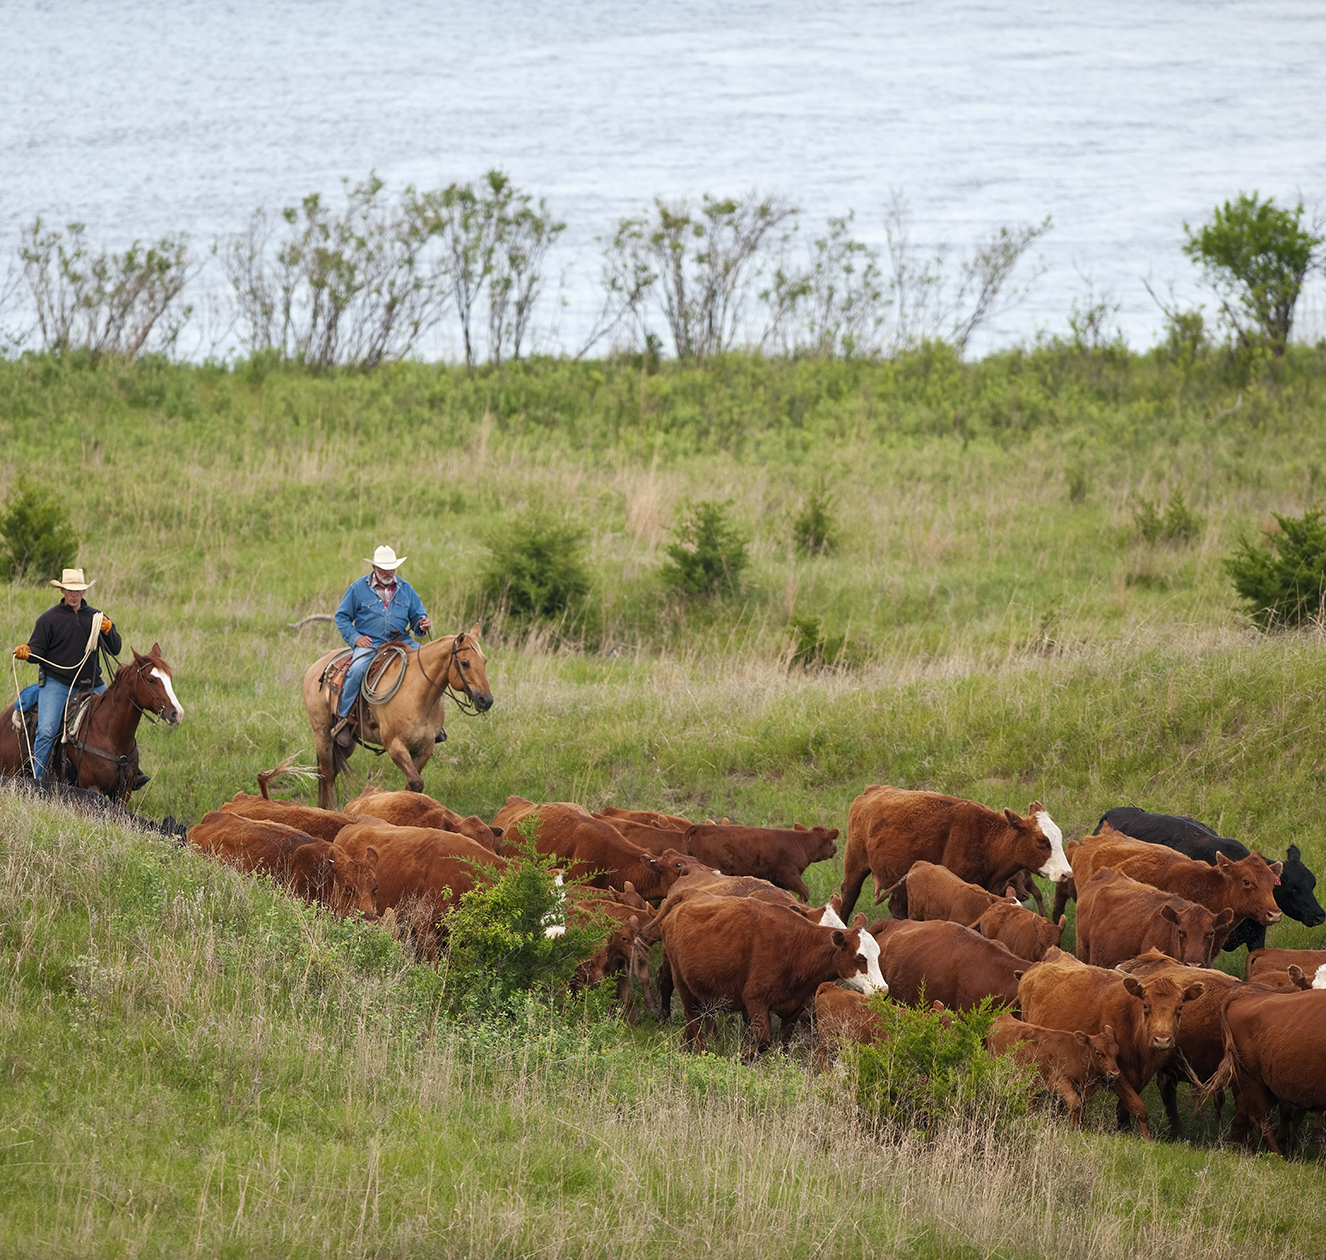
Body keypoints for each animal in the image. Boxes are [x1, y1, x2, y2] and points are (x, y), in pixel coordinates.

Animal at [0, 647, 186, 806]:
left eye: (169, 678)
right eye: (151, 679)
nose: (177, 713)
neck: (109, 733)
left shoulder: (123, 792)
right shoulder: (93, 787)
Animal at [303, 626, 495, 811]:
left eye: (484, 661)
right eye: (465, 663)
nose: (486, 700)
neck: (417, 694)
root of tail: (321, 662)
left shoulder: (425, 748)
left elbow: (412, 785)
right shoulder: (394, 745)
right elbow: (416, 782)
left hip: (346, 742)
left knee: (329, 770)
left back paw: (321, 806)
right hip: (322, 732)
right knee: (327, 773)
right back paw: (331, 810)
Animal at [843, 790, 1071, 917]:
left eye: (1059, 837)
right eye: (1042, 841)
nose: (1066, 873)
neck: (986, 840)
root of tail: (871, 791)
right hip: (855, 865)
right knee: (848, 898)